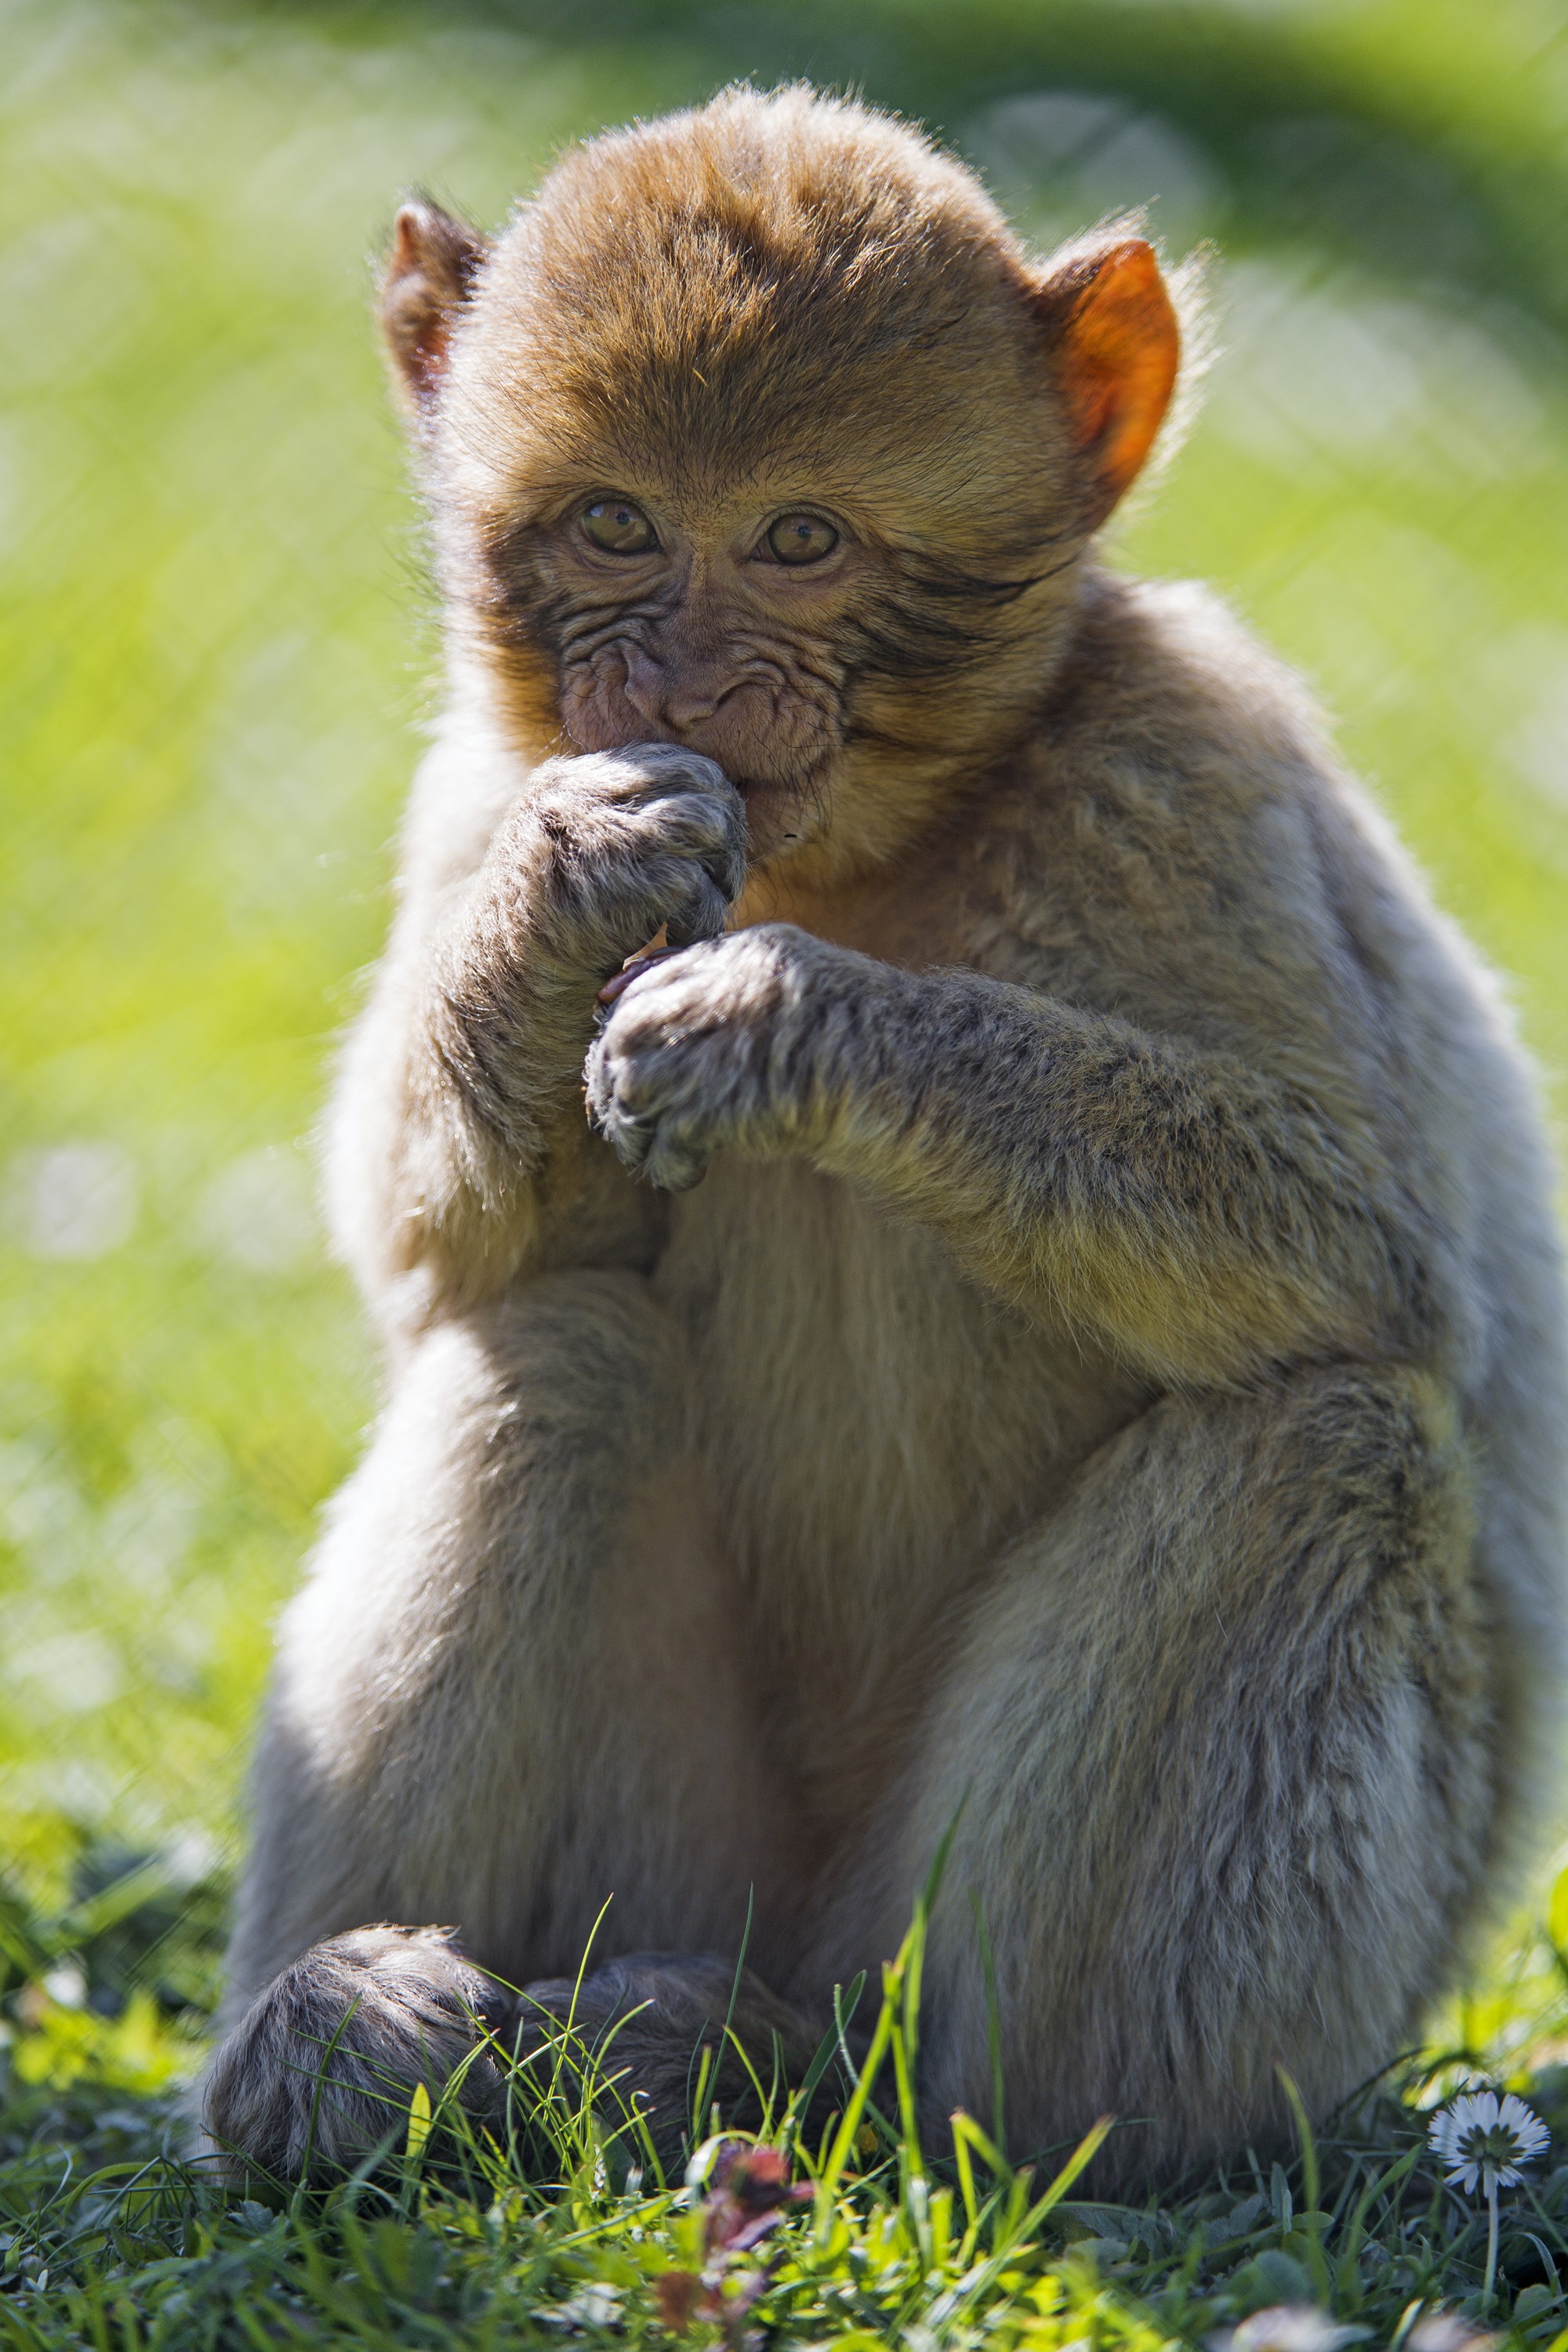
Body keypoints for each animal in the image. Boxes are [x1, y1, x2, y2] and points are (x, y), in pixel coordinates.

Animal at [203, 83, 1568, 2193]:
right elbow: (446, 1265)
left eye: (797, 541)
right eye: (618, 524)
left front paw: (788, 1020)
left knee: (1319, 1439)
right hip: (691, 1857)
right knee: (558, 1352)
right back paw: (359, 2042)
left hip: (1189, 1984)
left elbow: (1380, 1260)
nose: (680, 680)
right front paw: (572, 891)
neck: (865, 850)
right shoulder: (478, 776)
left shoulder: (1183, 770)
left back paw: (905, 2104)